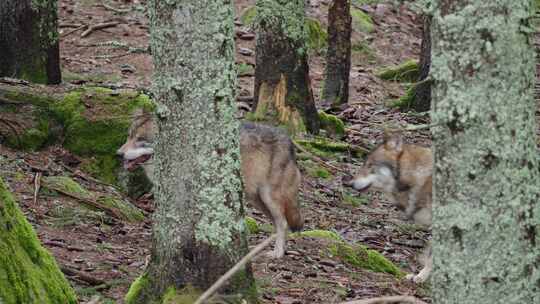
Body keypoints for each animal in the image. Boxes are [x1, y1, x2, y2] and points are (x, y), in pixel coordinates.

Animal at [117, 108, 304, 258]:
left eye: (140, 139)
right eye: (128, 136)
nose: (118, 154)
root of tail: (289, 140)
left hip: (269, 198)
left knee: (283, 223)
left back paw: (277, 253)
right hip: (258, 200)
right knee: (279, 224)